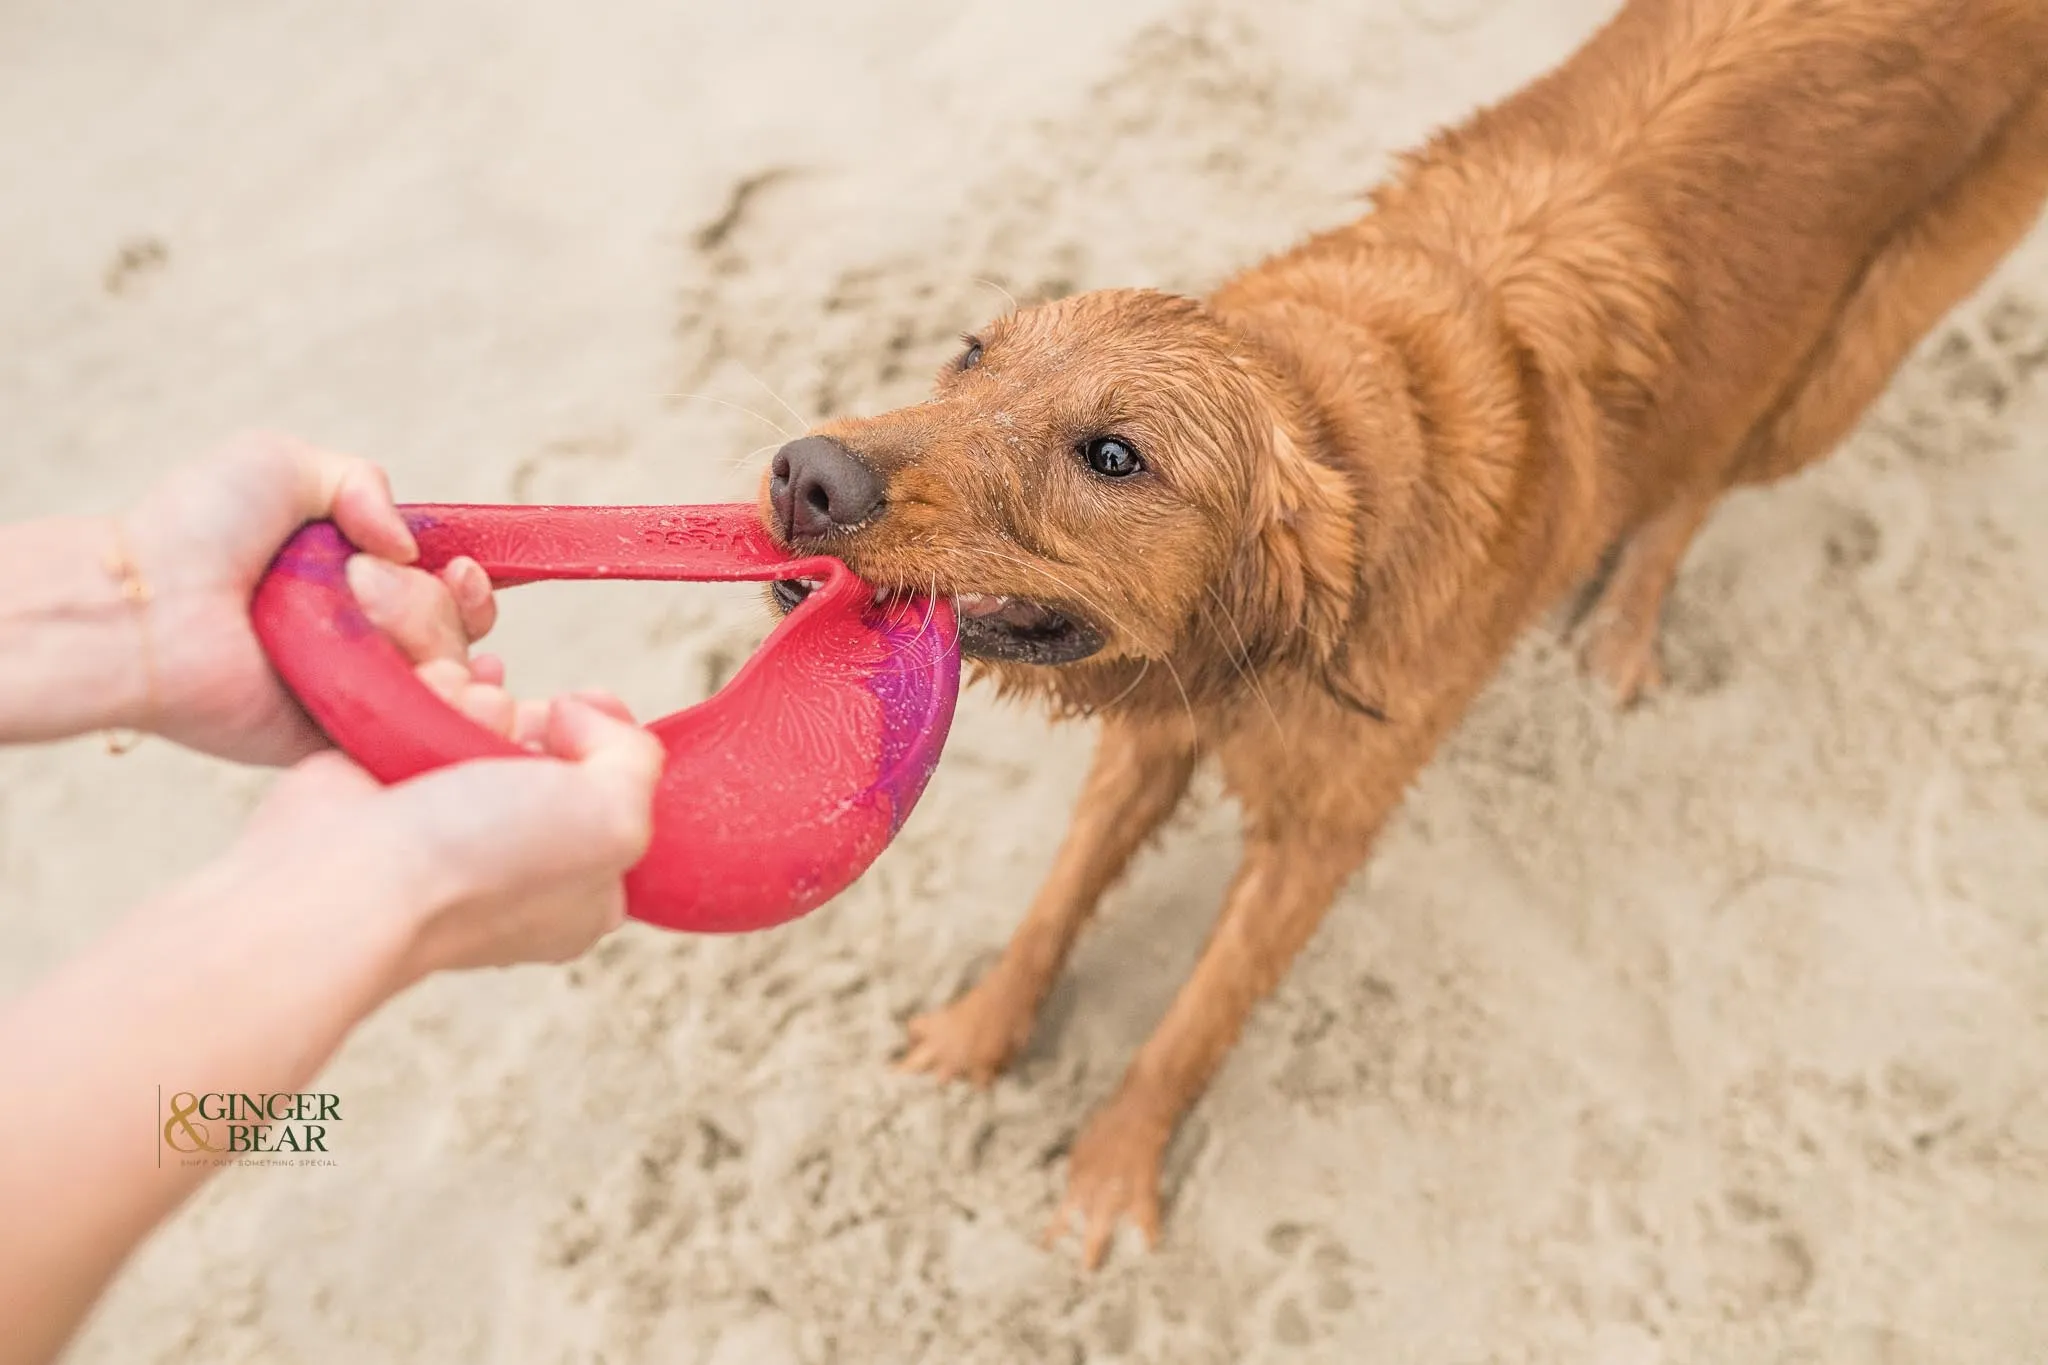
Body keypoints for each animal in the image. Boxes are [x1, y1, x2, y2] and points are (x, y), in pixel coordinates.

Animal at [757, 0, 2048, 1268]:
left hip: (1837, 374)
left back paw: (1624, 623)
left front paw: (1113, 1171)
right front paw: (976, 1033)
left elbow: (1195, 1017)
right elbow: (1054, 903)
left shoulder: (1323, 831)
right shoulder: (1153, 725)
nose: (807, 476)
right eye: (971, 354)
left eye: (1114, 457)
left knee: (1702, 478)